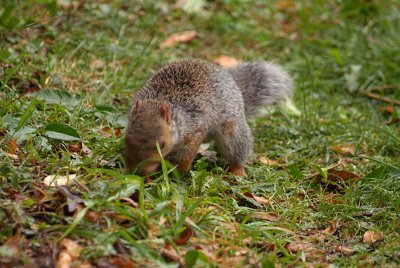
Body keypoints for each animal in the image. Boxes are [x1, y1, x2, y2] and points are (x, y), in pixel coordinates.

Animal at [125, 58, 294, 176]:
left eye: (163, 145)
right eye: (126, 139)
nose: (138, 171)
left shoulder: (194, 131)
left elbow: (184, 158)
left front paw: (176, 174)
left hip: (233, 132)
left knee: (238, 151)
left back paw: (238, 171)